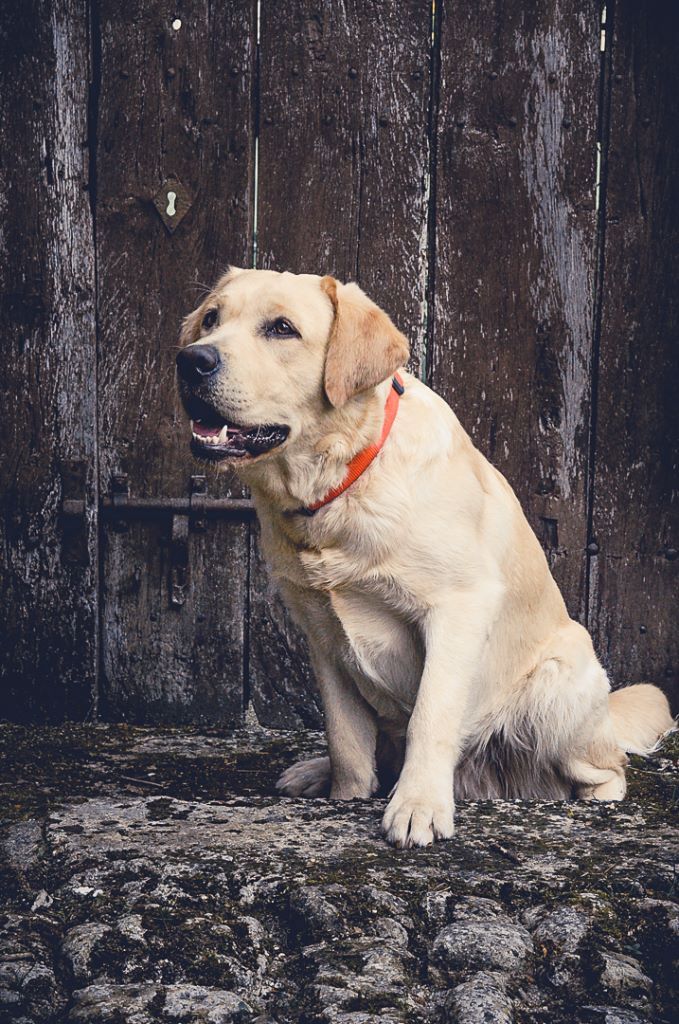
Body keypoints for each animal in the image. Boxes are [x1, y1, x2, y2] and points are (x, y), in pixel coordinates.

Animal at [176, 266, 674, 848]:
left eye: (282, 328)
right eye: (211, 319)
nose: (193, 360)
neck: (342, 483)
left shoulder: (458, 609)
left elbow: (430, 718)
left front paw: (417, 806)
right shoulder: (321, 634)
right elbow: (345, 737)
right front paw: (346, 793)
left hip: (562, 675)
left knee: (608, 765)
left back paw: (594, 795)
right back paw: (315, 771)